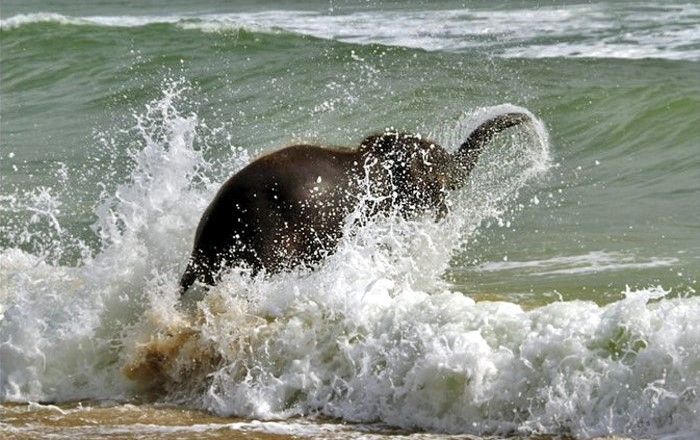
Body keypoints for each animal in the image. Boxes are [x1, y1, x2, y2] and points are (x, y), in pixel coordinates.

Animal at [180, 111, 532, 294]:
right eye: (440, 171)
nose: (529, 121)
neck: (376, 153)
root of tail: (202, 243)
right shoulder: (371, 206)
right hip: (269, 238)